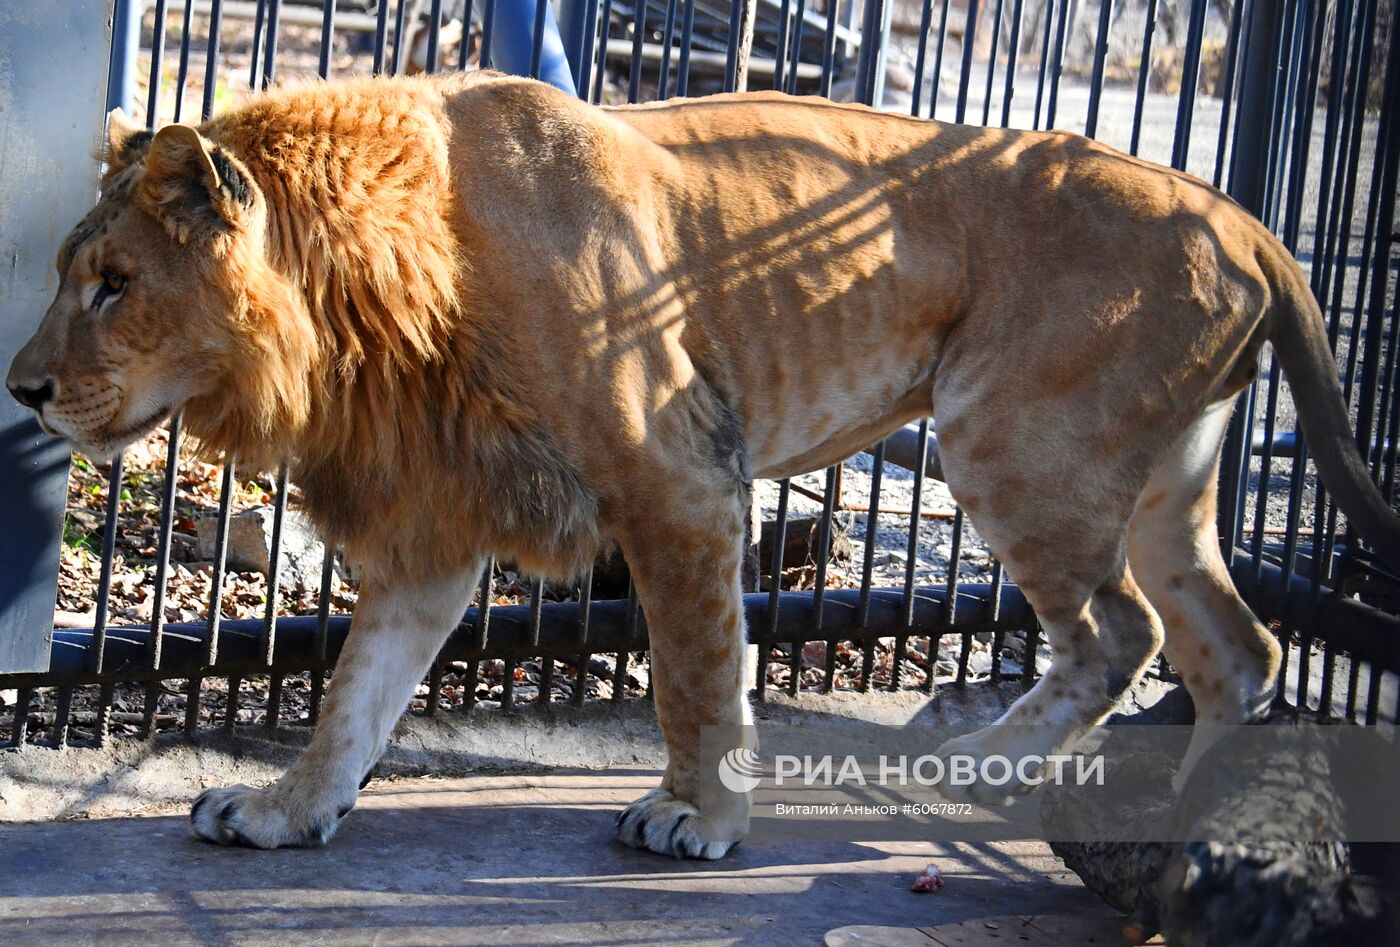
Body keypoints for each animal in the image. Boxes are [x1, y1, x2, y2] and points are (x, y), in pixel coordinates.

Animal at [8, 71, 1398, 857]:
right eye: (73, 272)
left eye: (114, 282)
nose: (21, 387)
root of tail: (1245, 216)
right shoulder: (440, 515)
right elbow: (354, 696)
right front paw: (287, 811)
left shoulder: (677, 477)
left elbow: (694, 670)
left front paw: (700, 817)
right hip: (1164, 482)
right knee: (1238, 648)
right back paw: (1188, 830)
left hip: (1013, 438)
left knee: (1120, 632)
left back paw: (964, 768)